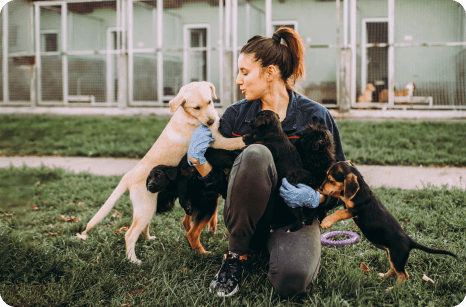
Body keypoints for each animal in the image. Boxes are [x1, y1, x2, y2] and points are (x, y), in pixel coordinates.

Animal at [318, 161, 456, 284]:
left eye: (331, 180)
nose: (320, 188)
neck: (360, 190)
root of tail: (409, 240)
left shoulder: (354, 210)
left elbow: (338, 212)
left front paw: (326, 221)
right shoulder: (346, 200)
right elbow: (339, 193)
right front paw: (321, 196)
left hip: (396, 257)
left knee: (404, 275)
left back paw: (393, 289)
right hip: (392, 256)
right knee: (396, 271)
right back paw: (384, 276)